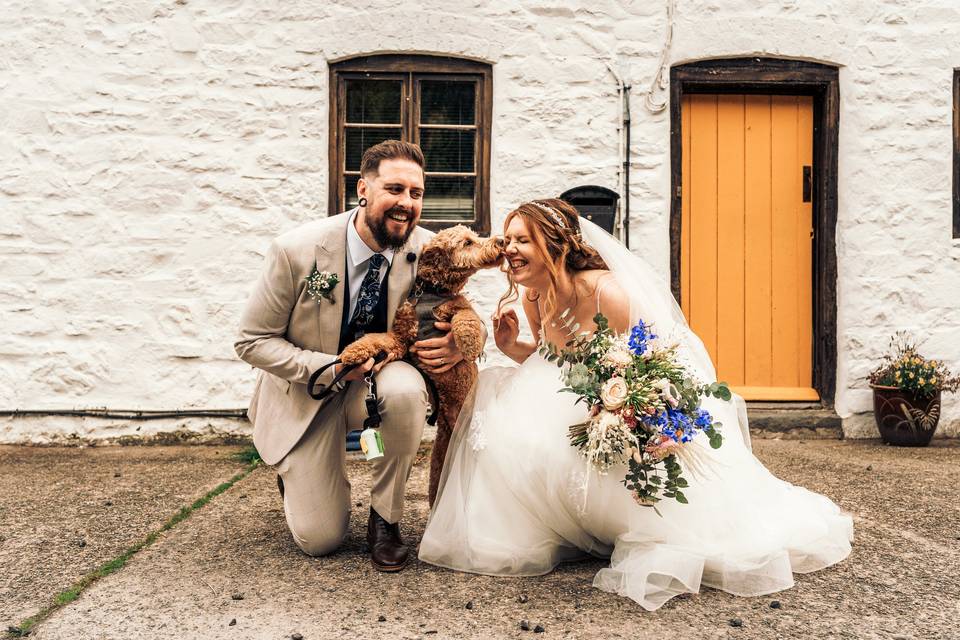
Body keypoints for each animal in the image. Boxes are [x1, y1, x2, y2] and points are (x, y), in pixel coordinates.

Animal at [338, 225, 502, 504]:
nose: (500, 241)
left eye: (474, 237)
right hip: (441, 453)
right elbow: (376, 339)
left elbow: (467, 318)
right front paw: (352, 353)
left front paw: (469, 345)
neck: (432, 293)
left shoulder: (457, 307)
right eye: (468, 242)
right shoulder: (399, 338)